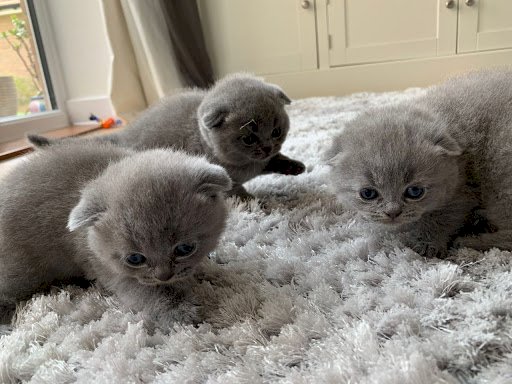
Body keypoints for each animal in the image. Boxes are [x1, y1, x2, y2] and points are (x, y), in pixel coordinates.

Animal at [0, 142, 232, 326]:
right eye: (135, 259)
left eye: (184, 248)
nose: (163, 276)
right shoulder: (107, 268)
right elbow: (148, 293)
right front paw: (180, 311)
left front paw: (210, 270)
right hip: (22, 271)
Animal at [328, 70, 512, 260]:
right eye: (368, 193)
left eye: (415, 192)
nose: (392, 212)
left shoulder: (462, 191)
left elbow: (442, 216)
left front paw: (428, 243)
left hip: (498, 174)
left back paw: (469, 241)